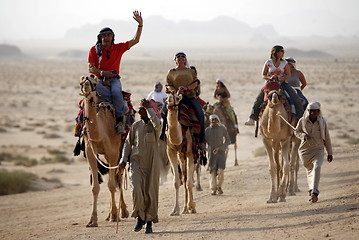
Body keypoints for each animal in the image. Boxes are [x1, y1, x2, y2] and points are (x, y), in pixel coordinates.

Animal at [80, 76, 129, 227]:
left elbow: (112, 184)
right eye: (81, 82)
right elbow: (95, 187)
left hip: (120, 148)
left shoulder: (113, 152)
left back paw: (122, 212)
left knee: (118, 177)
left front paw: (114, 215)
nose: (86, 82)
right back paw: (110, 214)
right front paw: (92, 220)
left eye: (94, 83)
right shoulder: (90, 152)